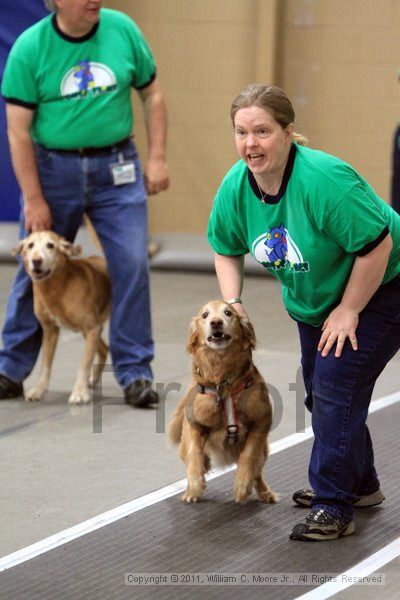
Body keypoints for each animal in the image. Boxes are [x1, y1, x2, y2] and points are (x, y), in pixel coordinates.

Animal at [13, 232, 111, 406]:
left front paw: (79, 393)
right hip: (89, 332)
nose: (36, 260)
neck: (59, 287)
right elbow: (45, 365)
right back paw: (93, 379)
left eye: (50, 245)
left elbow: (83, 365)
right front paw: (38, 390)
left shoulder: (92, 329)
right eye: (30, 245)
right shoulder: (50, 330)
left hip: (94, 330)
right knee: (105, 349)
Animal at [167, 298, 276, 504]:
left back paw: (265, 492)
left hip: (264, 450)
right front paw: (195, 483)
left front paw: (242, 485)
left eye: (228, 313)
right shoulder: (194, 424)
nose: (216, 323)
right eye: (205, 315)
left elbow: (249, 453)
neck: (222, 384)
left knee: (257, 472)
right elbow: (194, 453)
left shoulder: (262, 419)